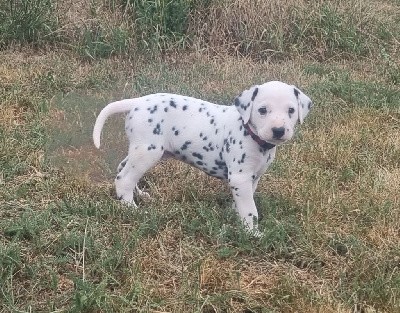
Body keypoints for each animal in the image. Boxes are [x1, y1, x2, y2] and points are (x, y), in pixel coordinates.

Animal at [94, 80, 312, 234]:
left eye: (291, 110)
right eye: (262, 110)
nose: (278, 130)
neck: (250, 133)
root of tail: (138, 101)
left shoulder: (253, 177)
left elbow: (242, 203)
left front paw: (235, 215)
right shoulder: (240, 177)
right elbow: (250, 210)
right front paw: (253, 233)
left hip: (144, 151)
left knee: (124, 169)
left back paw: (138, 194)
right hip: (148, 151)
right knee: (124, 179)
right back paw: (132, 208)